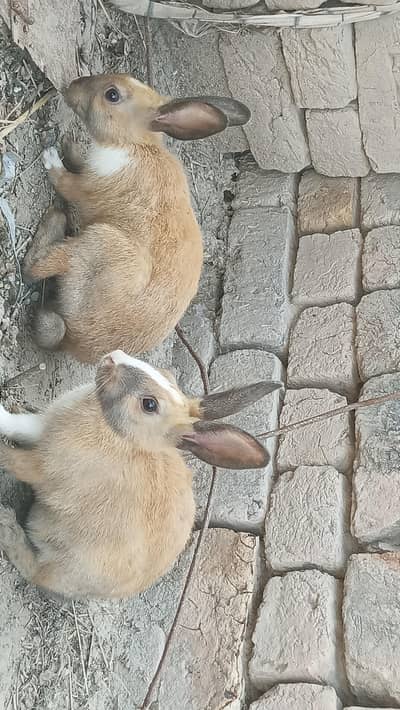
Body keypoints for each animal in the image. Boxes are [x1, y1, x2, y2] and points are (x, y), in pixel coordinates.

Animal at [0, 350, 280, 600]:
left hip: (65, 564)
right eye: (166, 374)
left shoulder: (42, 467)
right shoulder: (39, 429)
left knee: (36, 572)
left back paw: (8, 525)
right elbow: (16, 425)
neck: (121, 435)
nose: (113, 358)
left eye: (149, 404)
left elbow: (12, 459)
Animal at [22, 73, 250, 363]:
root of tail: (74, 339)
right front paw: (69, 144)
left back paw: (55, 218)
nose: (72, 85)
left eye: (112, 95)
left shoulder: (84, 188)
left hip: (101, 241)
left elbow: (63, 179)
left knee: (34, 268)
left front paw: (52, 155)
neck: (133, 145)